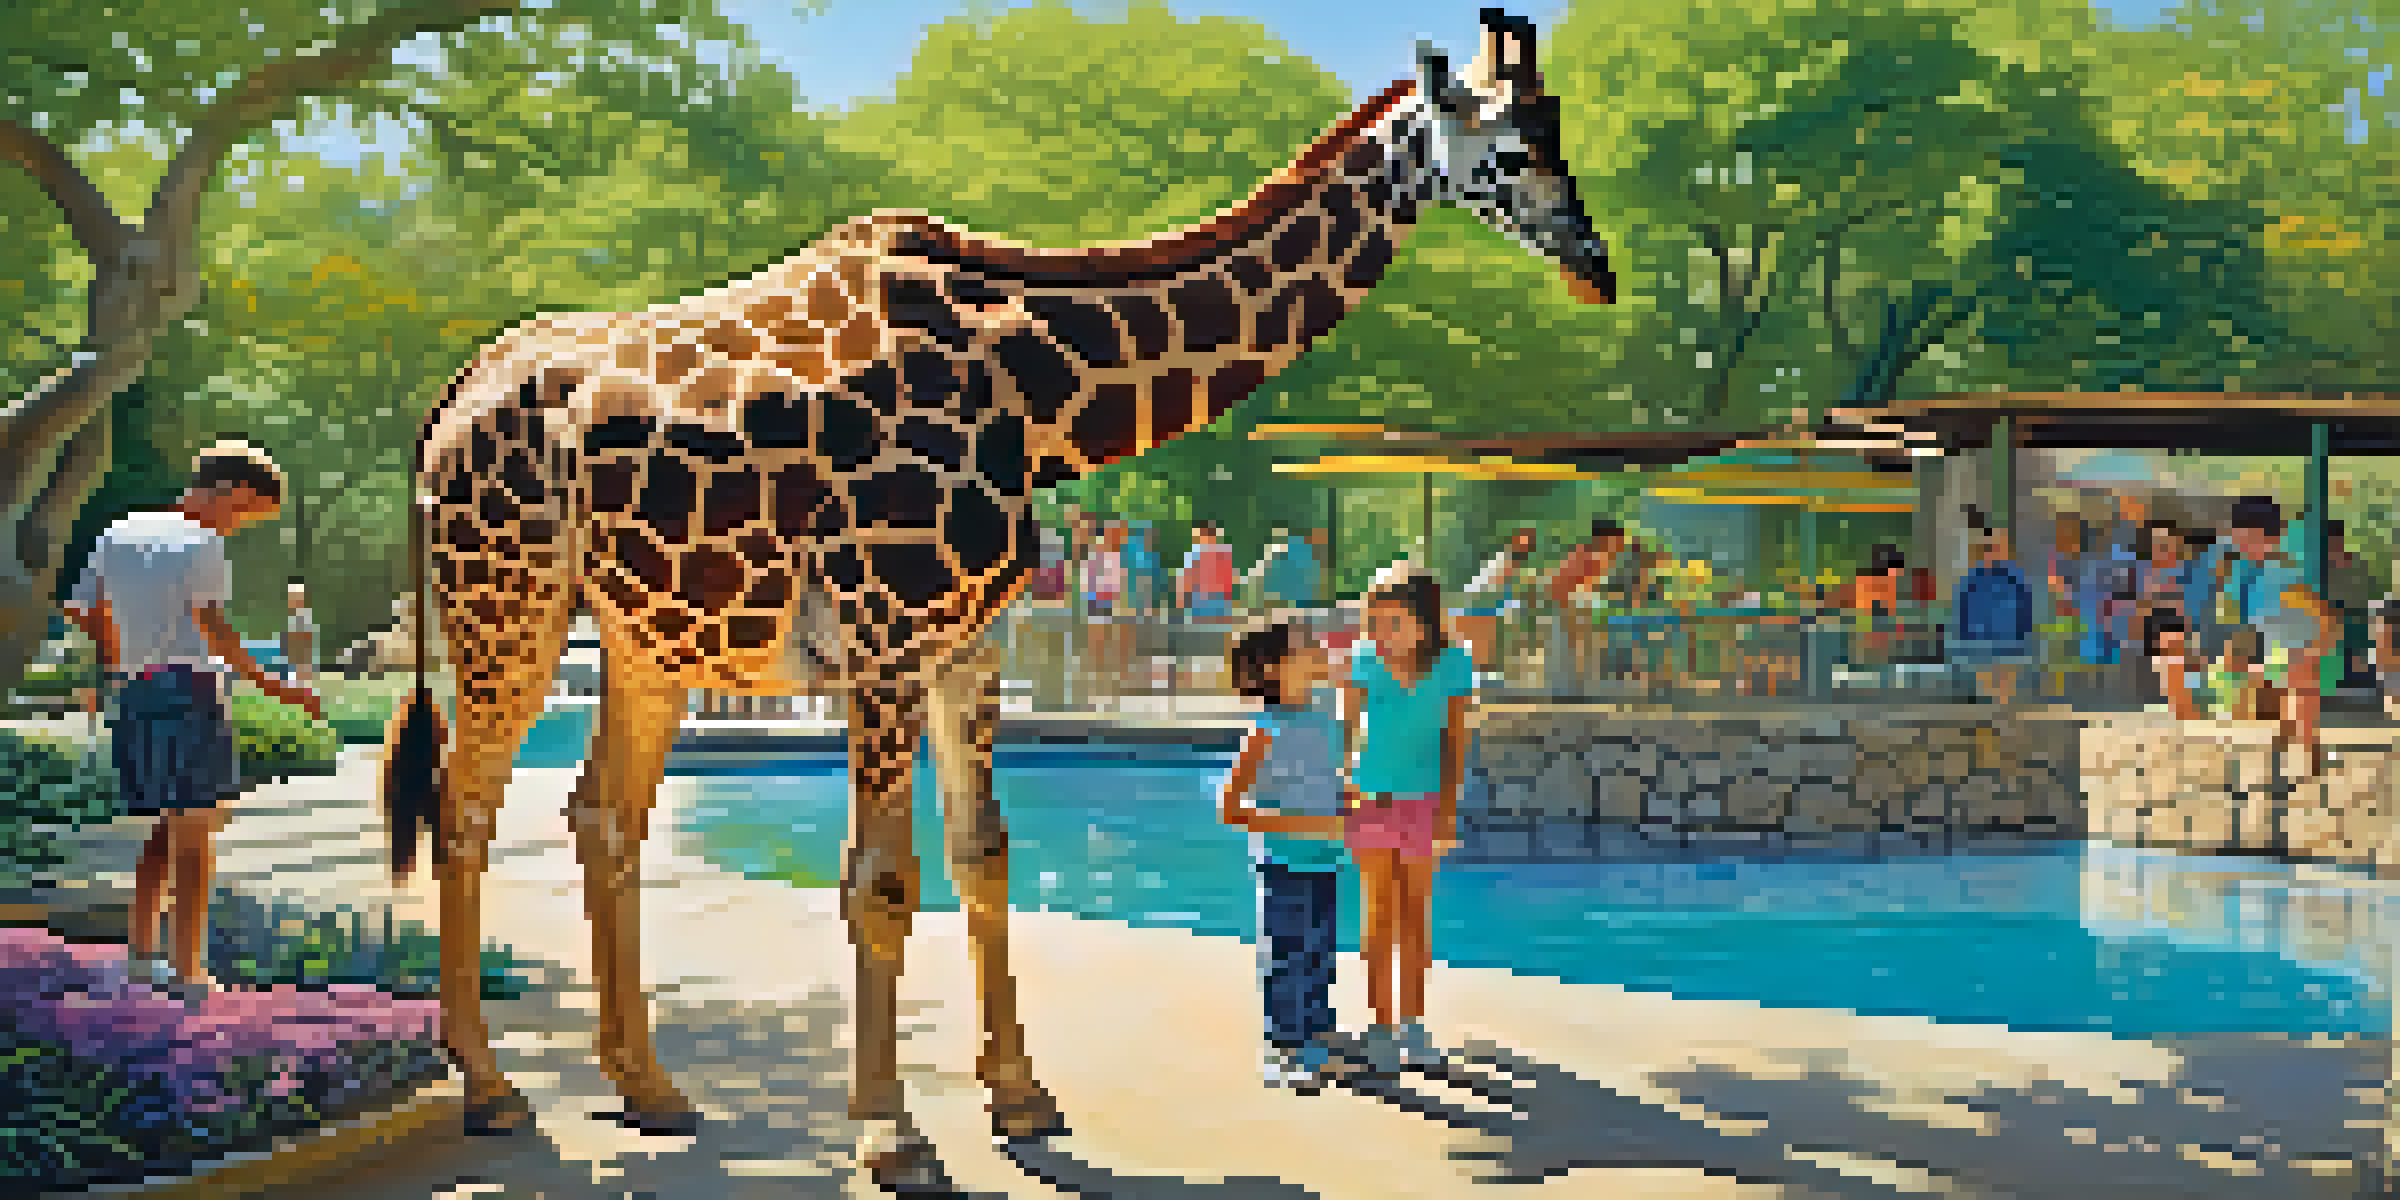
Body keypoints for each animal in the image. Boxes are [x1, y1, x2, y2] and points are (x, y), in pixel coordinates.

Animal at [382, 8, 1612, 1190]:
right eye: (1509, 148)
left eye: (1558, 131)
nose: (1596, 264)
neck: (1035, 387)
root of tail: (444, 410)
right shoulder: (883, 637)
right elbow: (881, 882)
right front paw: (890, 1135)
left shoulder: (970, 645)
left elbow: (983, 856)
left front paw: (1019, 1096)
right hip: (506, 604)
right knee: (463, 806)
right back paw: (491, 1087)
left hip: (647, 636)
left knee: (602, 817)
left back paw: (649, 1088)